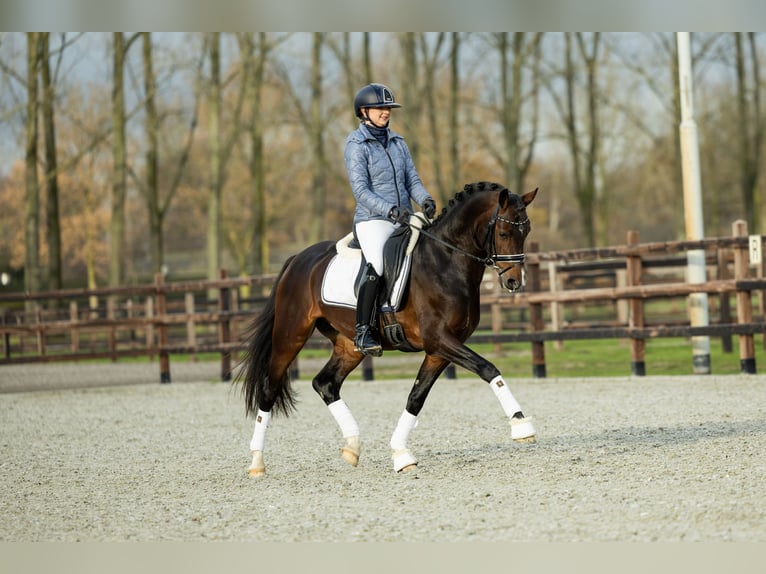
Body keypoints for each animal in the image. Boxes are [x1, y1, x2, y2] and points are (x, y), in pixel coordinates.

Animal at [237, 181, 538, 475]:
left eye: (526, 230)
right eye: (503, 232)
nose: (515, 281)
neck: (445, 262)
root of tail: (297, 259)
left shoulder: (440, 349)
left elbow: (416, 397)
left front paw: (400, 453)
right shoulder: (439, 339)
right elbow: (488, 368)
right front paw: (521, 424)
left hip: (350, 345)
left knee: (325, 383)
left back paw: (352, 447)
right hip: (290, 336)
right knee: (270, 388)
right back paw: (257, 462)